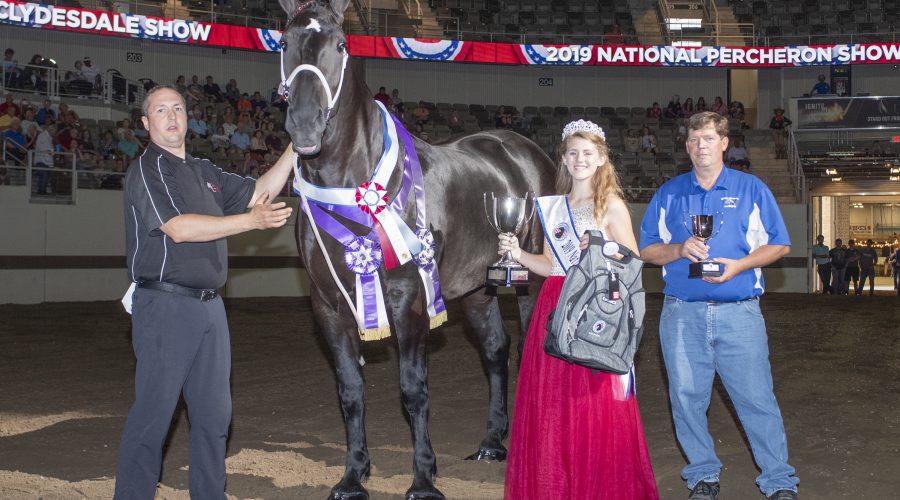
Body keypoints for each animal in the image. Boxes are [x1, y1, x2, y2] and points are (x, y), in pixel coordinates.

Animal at [274, 0, 556, 496]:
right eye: (284, 42)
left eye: (341, 44)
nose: (305, 126)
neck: (357, 187)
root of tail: (522, 149)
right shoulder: (328, 305)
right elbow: (351, 392)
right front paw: (352, 475)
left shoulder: (410, 298)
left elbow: (413, 388)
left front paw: (423, 478)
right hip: (477, 289)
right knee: (496, 350)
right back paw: (491, 443)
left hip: (530, 280)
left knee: (528, 348)